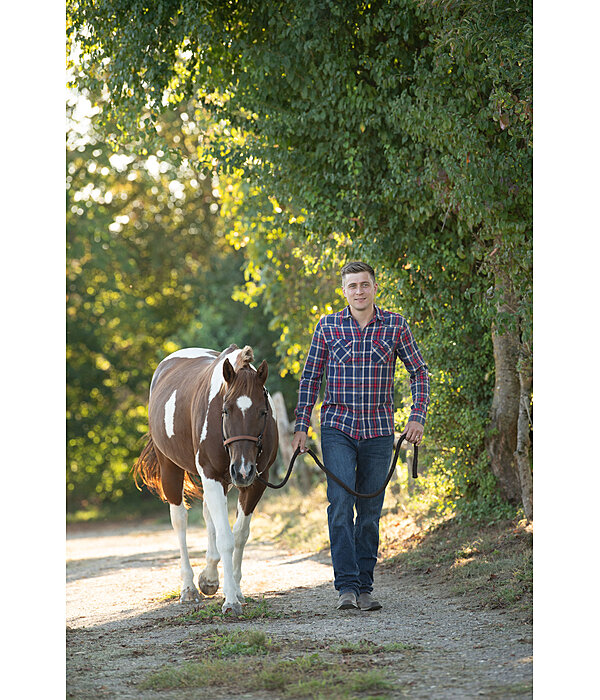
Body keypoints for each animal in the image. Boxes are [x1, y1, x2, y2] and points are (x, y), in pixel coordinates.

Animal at [134, 344, 278, 612]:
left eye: (263, 412)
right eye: (226, 410)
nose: (243, 470)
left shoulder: (254, 484)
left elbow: (240, 535)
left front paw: (235, 589)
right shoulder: (212, 476)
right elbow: (226, 539)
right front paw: (230, 600)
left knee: (208, 515)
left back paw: (209, 578)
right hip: (171, 468)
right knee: (180, 520)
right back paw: (189, 587)